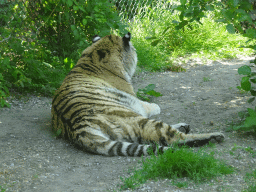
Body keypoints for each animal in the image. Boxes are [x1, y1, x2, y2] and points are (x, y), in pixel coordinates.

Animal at [50, 32, 224, 156]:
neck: (94, 56)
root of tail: (79, 128)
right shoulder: (136, 102)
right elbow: (150, 106)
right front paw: (156, 105)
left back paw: (185, 126)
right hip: (139, 121)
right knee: (174, 138)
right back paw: (214, 136)